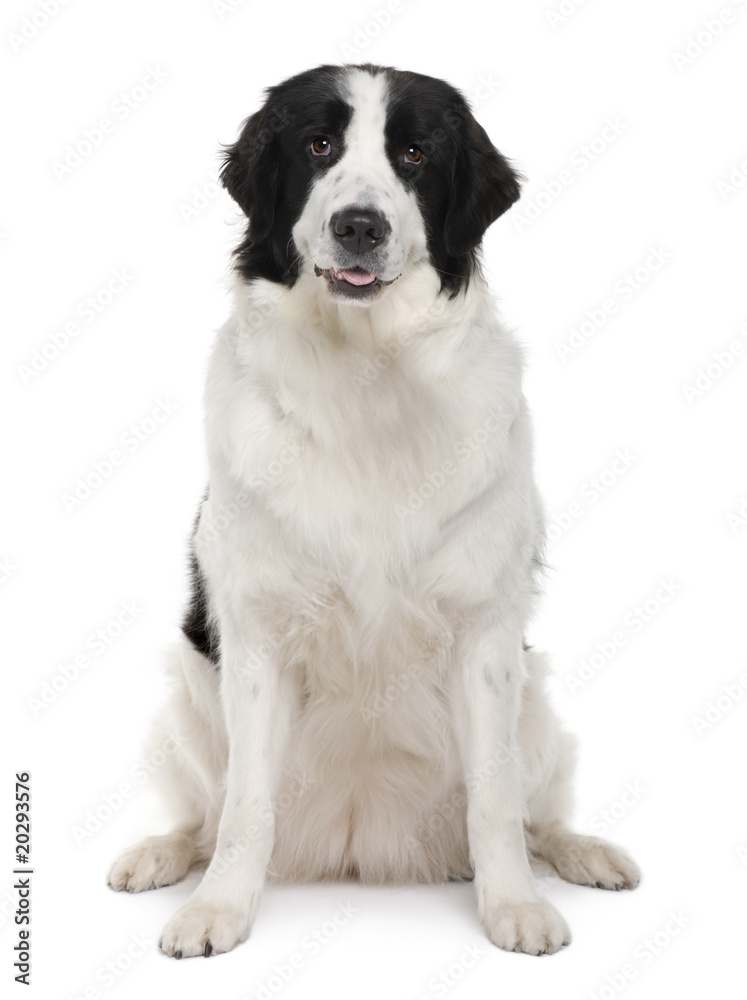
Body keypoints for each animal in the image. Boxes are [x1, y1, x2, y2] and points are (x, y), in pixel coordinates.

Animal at [108, 64, 640, 960]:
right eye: (318, 145)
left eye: (415, 155)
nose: (359, 225)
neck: (367, 376)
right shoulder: (255, 634)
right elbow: (245, 808)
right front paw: (218, 911)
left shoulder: (484, 634)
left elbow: (495, 802)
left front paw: (513, 906)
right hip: (185, 697)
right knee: (203, 817)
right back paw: (158, 855)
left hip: (535, 701)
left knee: (537, 814)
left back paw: (583, 854)